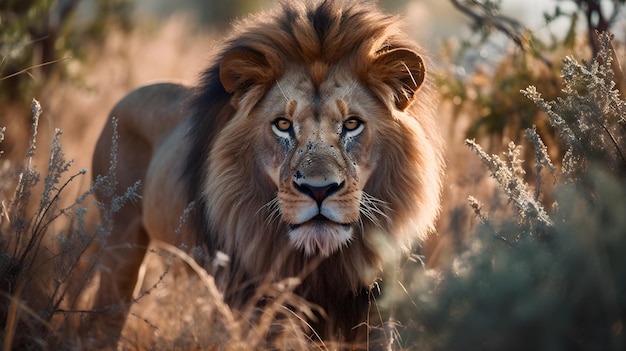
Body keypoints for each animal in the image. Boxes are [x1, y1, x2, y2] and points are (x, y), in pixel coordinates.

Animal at [90, 0, 446, 346]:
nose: (319, 190)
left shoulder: (376, 311)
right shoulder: (253, 305)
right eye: (283, 124)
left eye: (352, 124)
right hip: (120, 249)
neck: (321, 264)